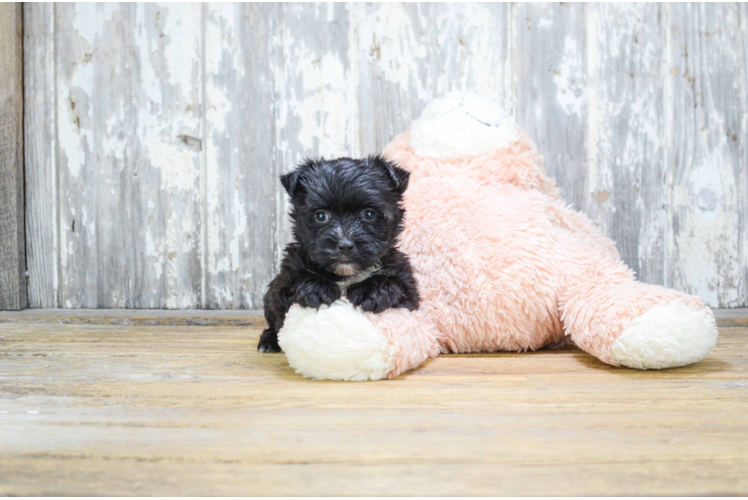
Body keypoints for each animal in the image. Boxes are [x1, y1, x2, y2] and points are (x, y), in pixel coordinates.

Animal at [258, 155, 420, 352]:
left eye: (369, 214)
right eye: (321, 216)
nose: (345, 245)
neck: (344, 274)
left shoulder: (407, 287)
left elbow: (394, 285)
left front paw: (373, 290)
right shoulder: (284, 280)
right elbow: (296, 282)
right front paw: (317, 287)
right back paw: (269, 340)